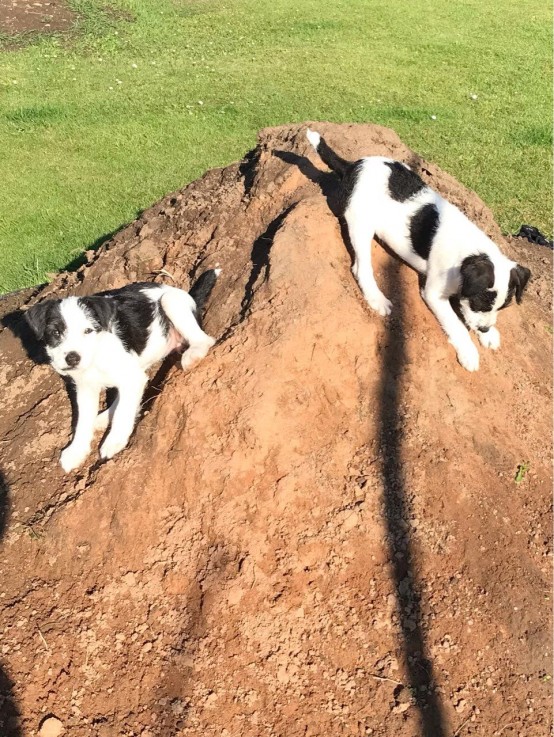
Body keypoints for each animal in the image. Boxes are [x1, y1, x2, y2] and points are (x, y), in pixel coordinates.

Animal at [25, 270, 220, 472]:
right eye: (55, 333)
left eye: (88, 331)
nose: (72, 358)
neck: (96, 356)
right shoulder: (86, 388)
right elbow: (82, 421)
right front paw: (76, 451)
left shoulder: (132, 378)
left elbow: (123, 411)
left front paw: (114, 441)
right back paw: (103, 417)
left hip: (171, 302)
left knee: (205, 339)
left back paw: (193, 354)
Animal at [304, 129, 528, 370]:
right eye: (481, 302)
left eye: (501, 307)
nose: (484, 329)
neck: (470, 251)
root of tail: (352, 166)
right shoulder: (434, 294)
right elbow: (457, 325)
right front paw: (469, 351)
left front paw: (488, 335)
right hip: (360, 223)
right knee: (360, 268)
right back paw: (377, 298)